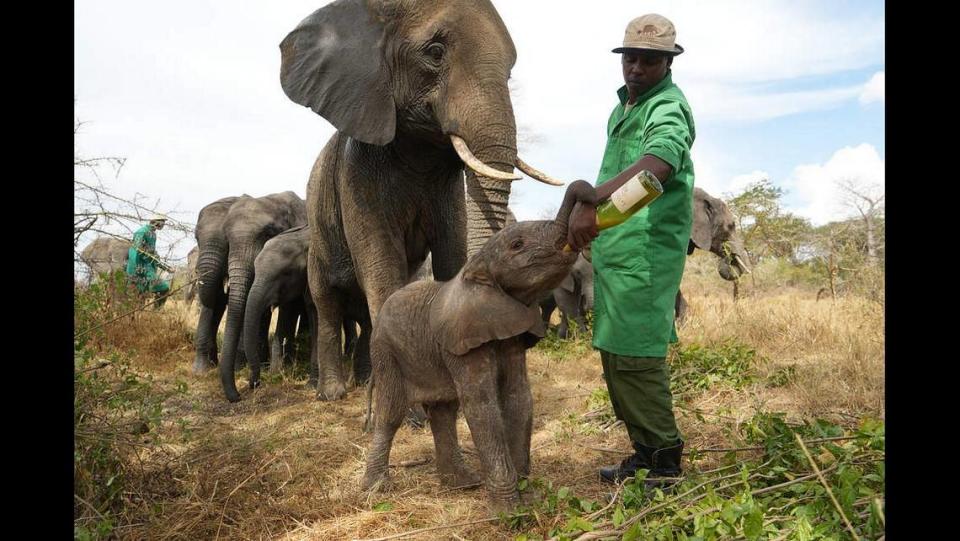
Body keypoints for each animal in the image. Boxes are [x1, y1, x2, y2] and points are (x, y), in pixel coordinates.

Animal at [278, 1, 564, 400]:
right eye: (435, 52)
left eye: (510, 73)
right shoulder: (358, 171)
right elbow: (382, 263)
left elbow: (450, 251)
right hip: (318, 239)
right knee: (327, 305)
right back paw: (333, 393)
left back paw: (365, 381)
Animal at [364, 180, 596, 510]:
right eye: (517, 245)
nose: (587, 193)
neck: (475, 268)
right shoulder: (462, 339)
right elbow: (483, 406)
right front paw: (509, 510)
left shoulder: (510, 330)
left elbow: (518, 398)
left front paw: (528, 497)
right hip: (385, 351)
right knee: (391, 412)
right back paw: (376, 489)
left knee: (443, 411)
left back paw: (462, 483)